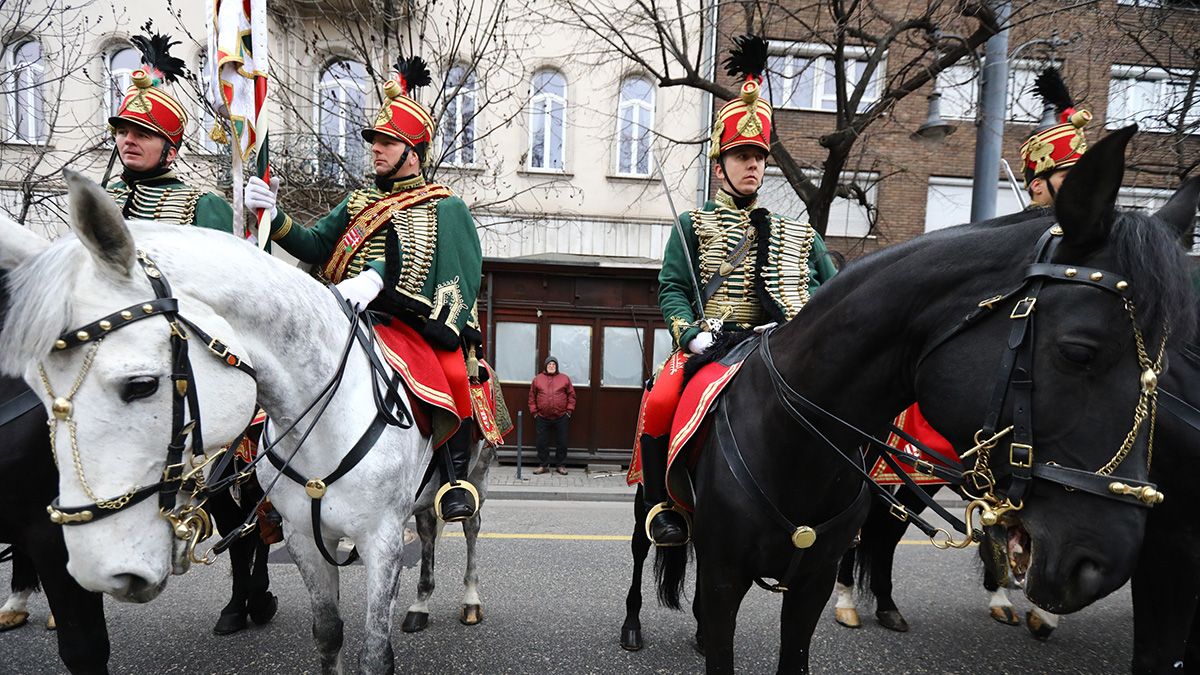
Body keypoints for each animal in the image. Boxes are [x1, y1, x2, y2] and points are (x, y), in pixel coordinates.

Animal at [0, 170, 432, 667]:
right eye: (34, 389)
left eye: (140, 384)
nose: (99, 569)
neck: (326, 424)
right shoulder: (304, 538)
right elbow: (327, 633)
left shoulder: (383, 541)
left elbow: (375, 652)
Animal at [652, 123, 1195, 667]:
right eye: (1079, 351)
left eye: (1162, 365)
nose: (1102, 561)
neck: (793, 444)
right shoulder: (725, 577)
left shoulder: (810, 583)